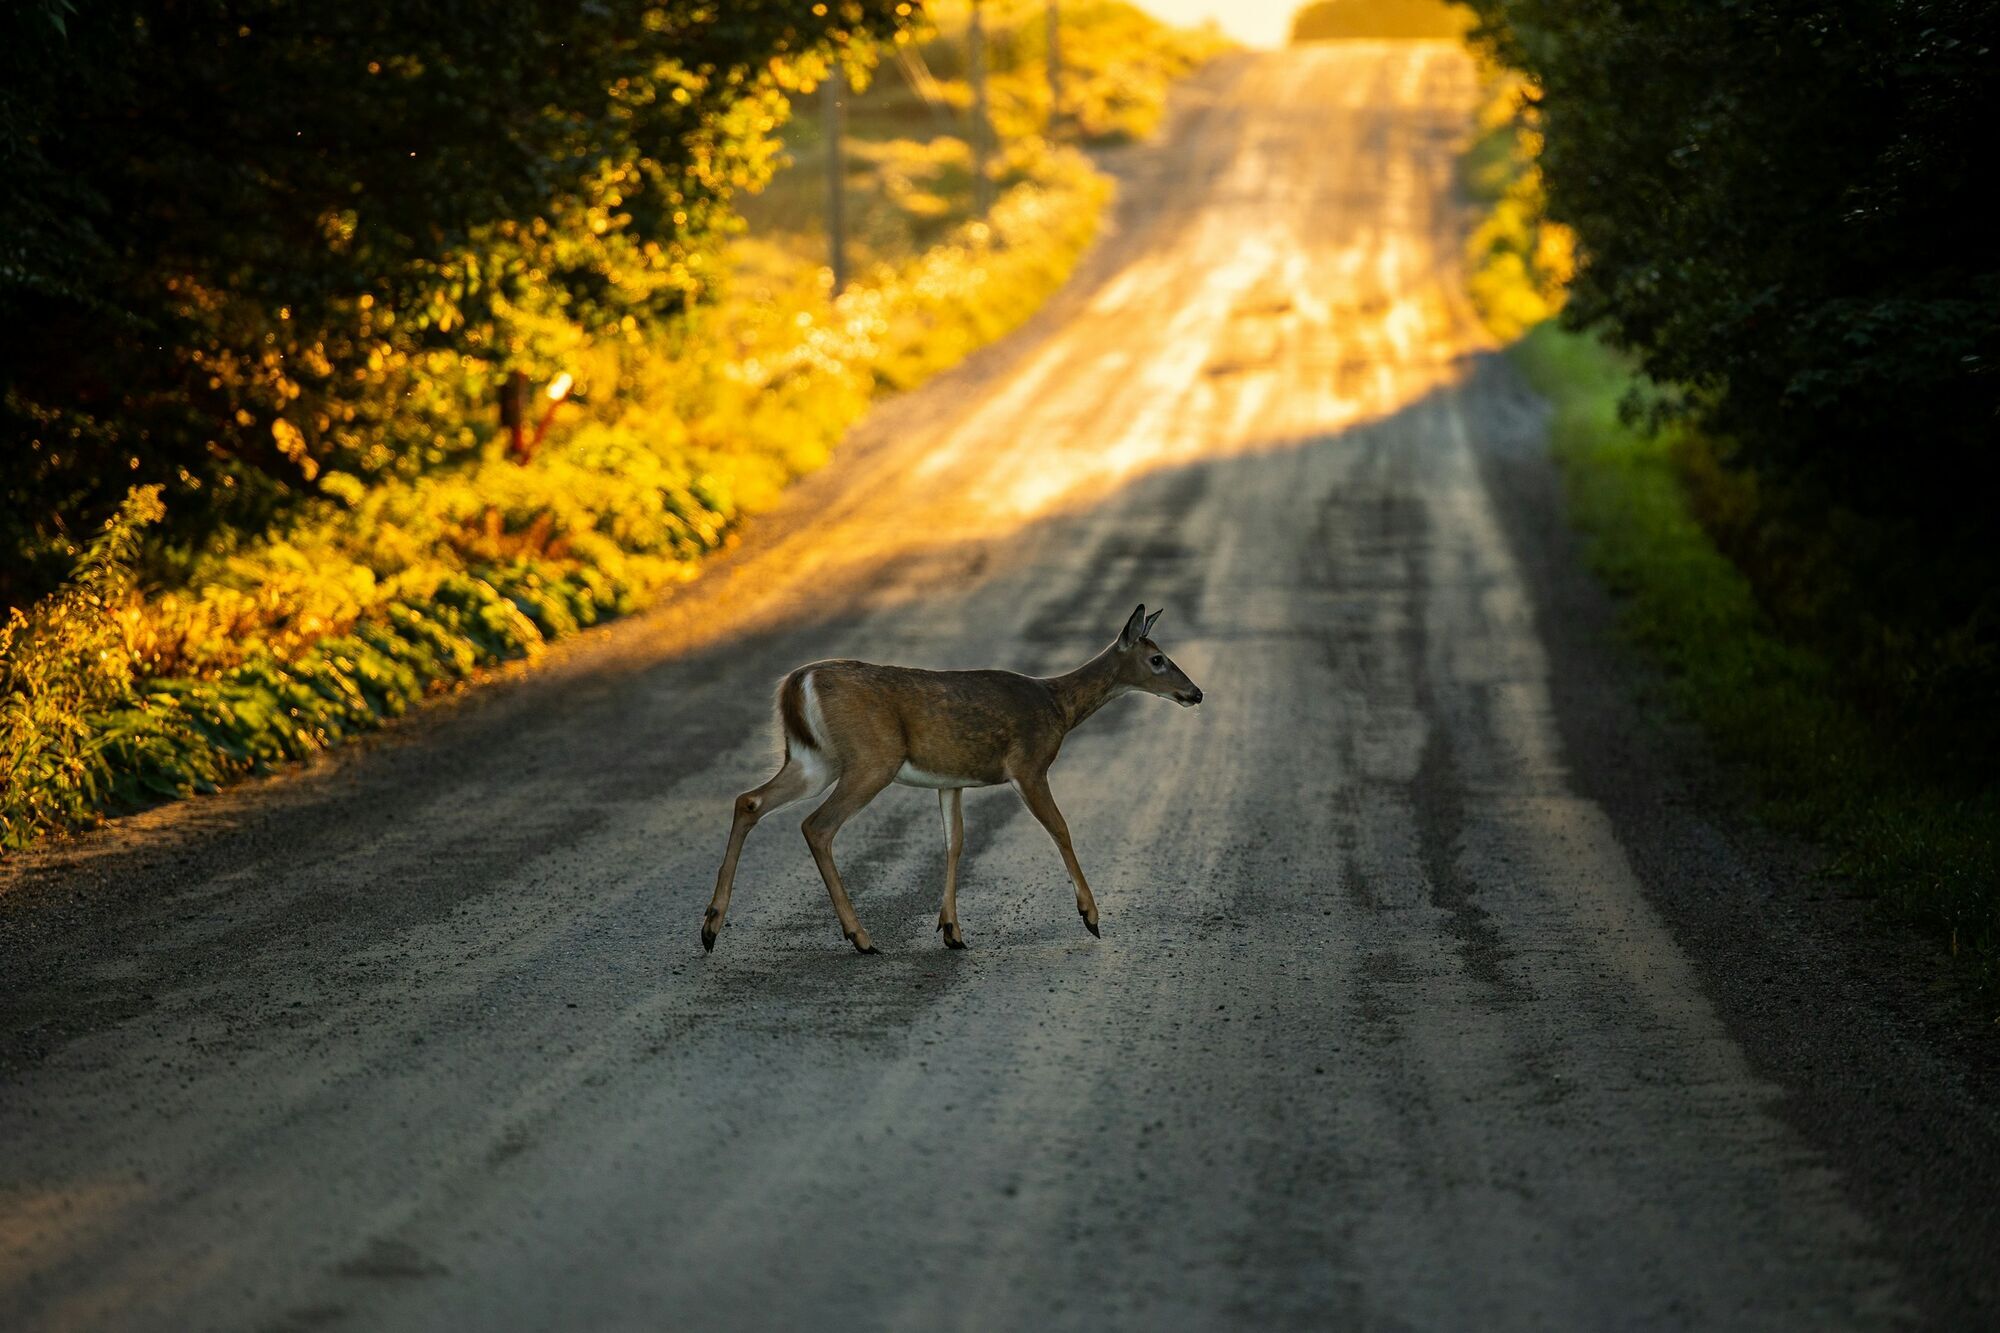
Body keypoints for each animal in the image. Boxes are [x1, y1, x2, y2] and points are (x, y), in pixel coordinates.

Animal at [701, 604, 1203, 954]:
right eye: (1158, 659)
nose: (1195, 692)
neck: (1058, 707)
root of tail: (796, 682)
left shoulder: (950, 780)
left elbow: (955, 842)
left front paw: (951, 930)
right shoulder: (1029, 764)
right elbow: (1060, 828)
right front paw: (1091, 917)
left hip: (813, 759)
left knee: (748, 801)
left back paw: (710, 927)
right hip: (871, 759)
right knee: (816, 826)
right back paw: (860, 937)